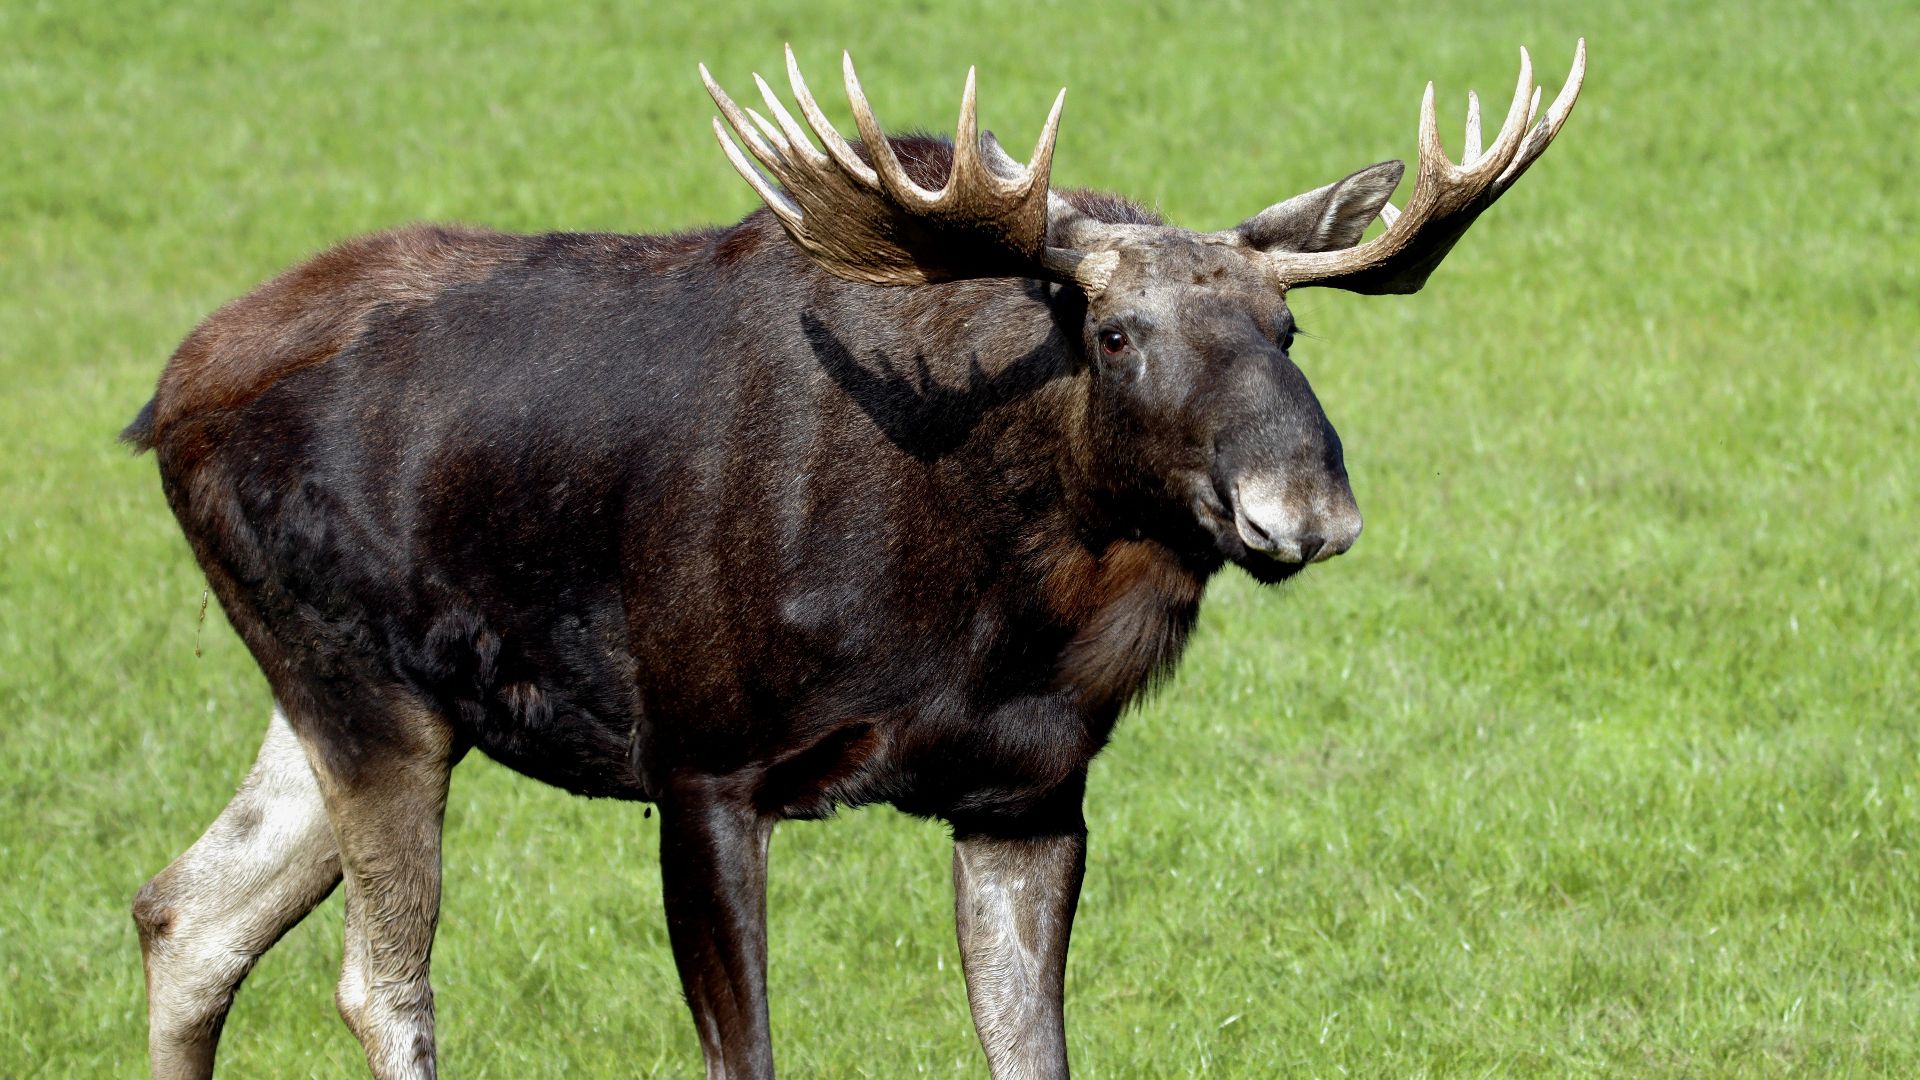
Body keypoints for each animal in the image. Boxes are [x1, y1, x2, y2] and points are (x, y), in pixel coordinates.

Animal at [125, 42, 1584, 1079]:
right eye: (1116, 333)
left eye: (1289, 329)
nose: (1306, 507)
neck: (989, 609)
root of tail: (163, 398)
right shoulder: (702, 761)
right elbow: (746, 1054)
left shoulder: (1029, 794)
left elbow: (1034, 1053)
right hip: (369, 696)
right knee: (379, 985)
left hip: (357, 698)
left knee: (184, 914)